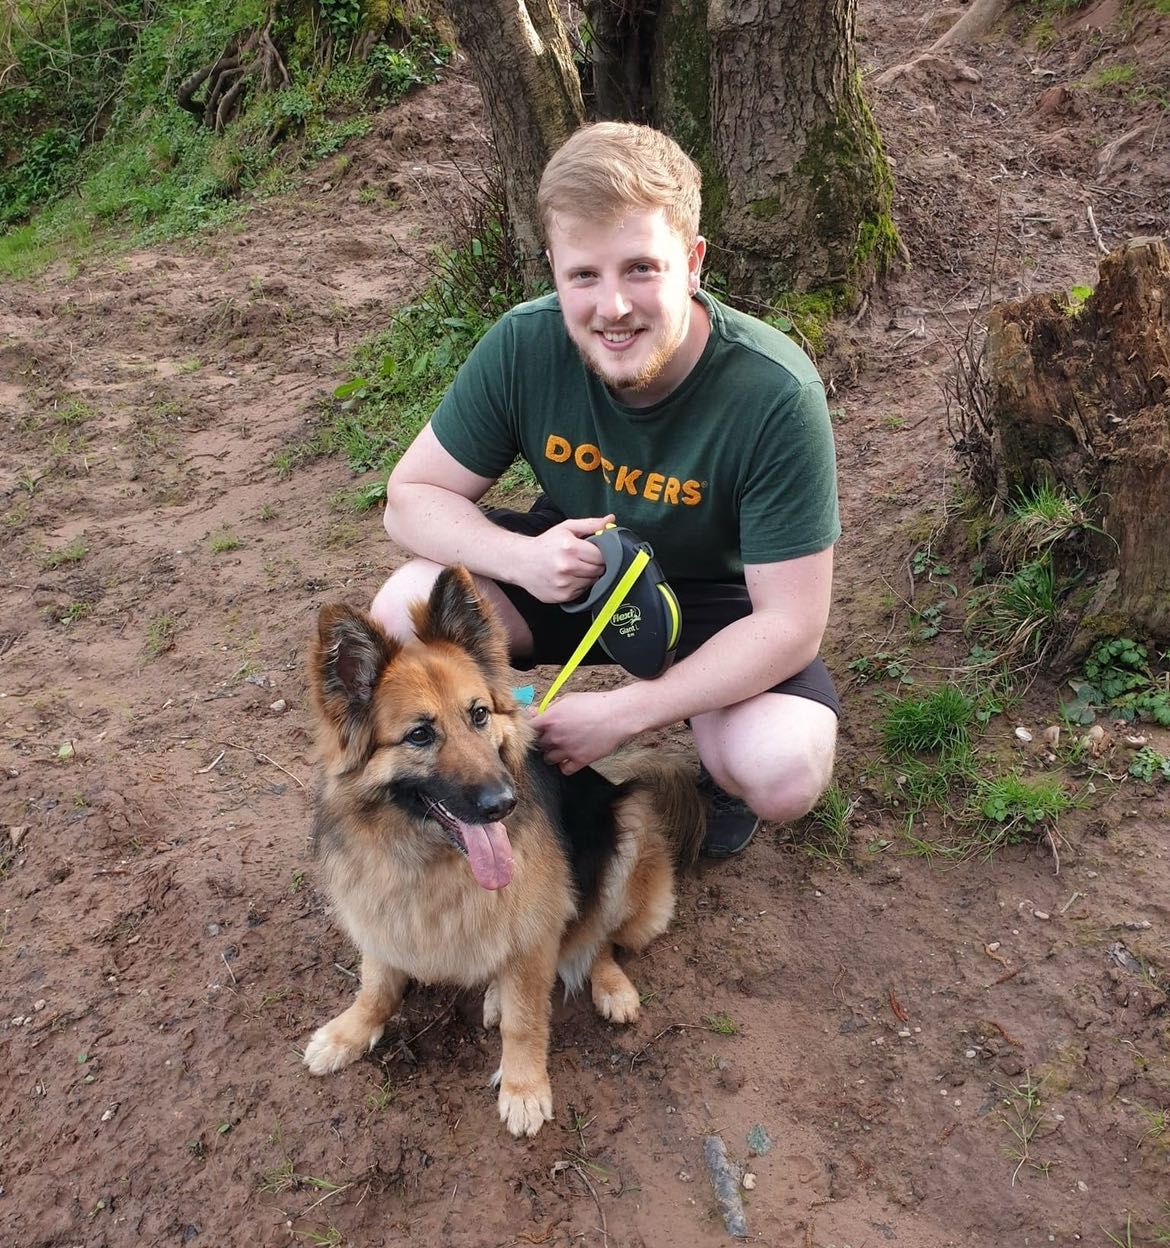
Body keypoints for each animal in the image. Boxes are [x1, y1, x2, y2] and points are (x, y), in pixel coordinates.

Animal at [301, 566, 705, 1137]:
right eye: (419, 734)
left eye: (479, 715)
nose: (503, 803)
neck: (431, 860)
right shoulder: (380, 911)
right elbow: (376, 984)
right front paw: (347, 1033)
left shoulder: (536, 928)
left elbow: (524, 1020)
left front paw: (524, 1088)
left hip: (630, 826)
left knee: (596, 936)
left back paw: (609, 986)